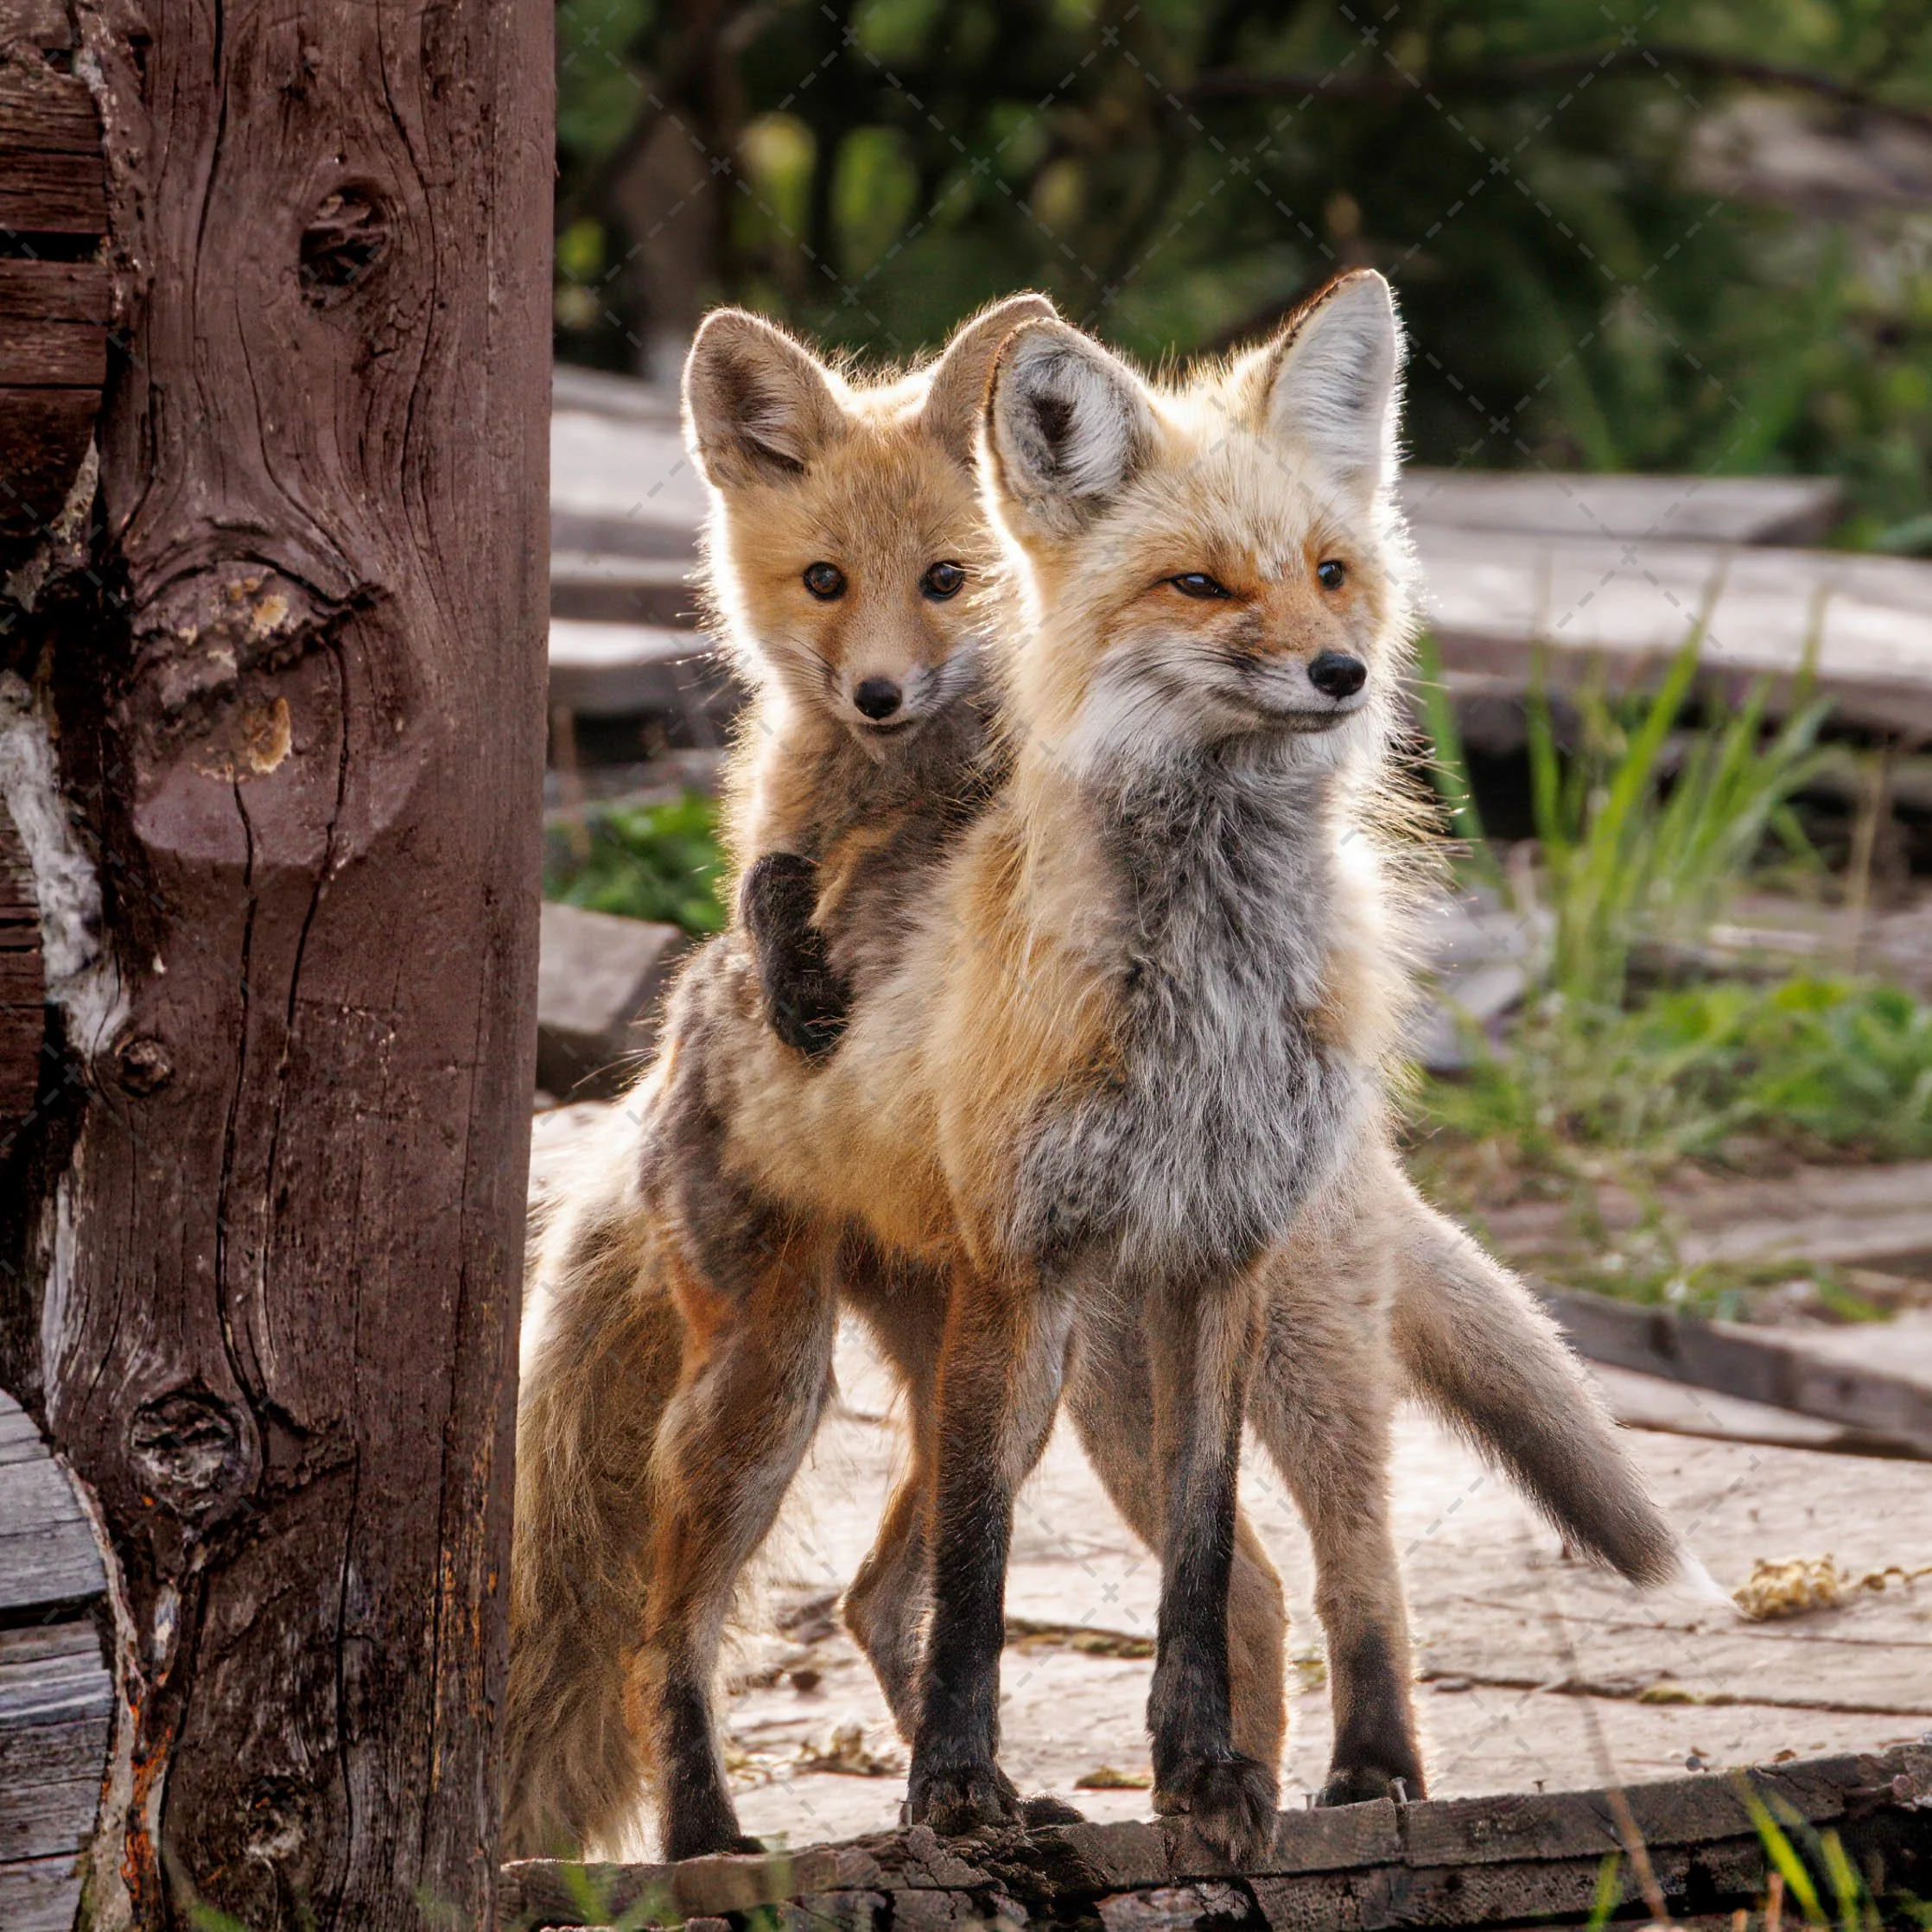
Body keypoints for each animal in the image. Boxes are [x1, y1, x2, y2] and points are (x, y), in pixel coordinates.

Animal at [506, 285, 1699, 1865]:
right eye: (1199, 586)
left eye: (1330, 573)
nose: (1341, 676)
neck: (1202, 985)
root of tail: (674, 1026)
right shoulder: (1023, 1273)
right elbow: (980, 1585)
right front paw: (956, 1793)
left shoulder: (1216, 1276)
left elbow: (1190, 1577)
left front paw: (1199, 1775)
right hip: (793, 1384)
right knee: (689, 1621)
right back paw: (710, 1839)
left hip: (1164, 1367)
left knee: (1309, 1566)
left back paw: (1356, 1773)